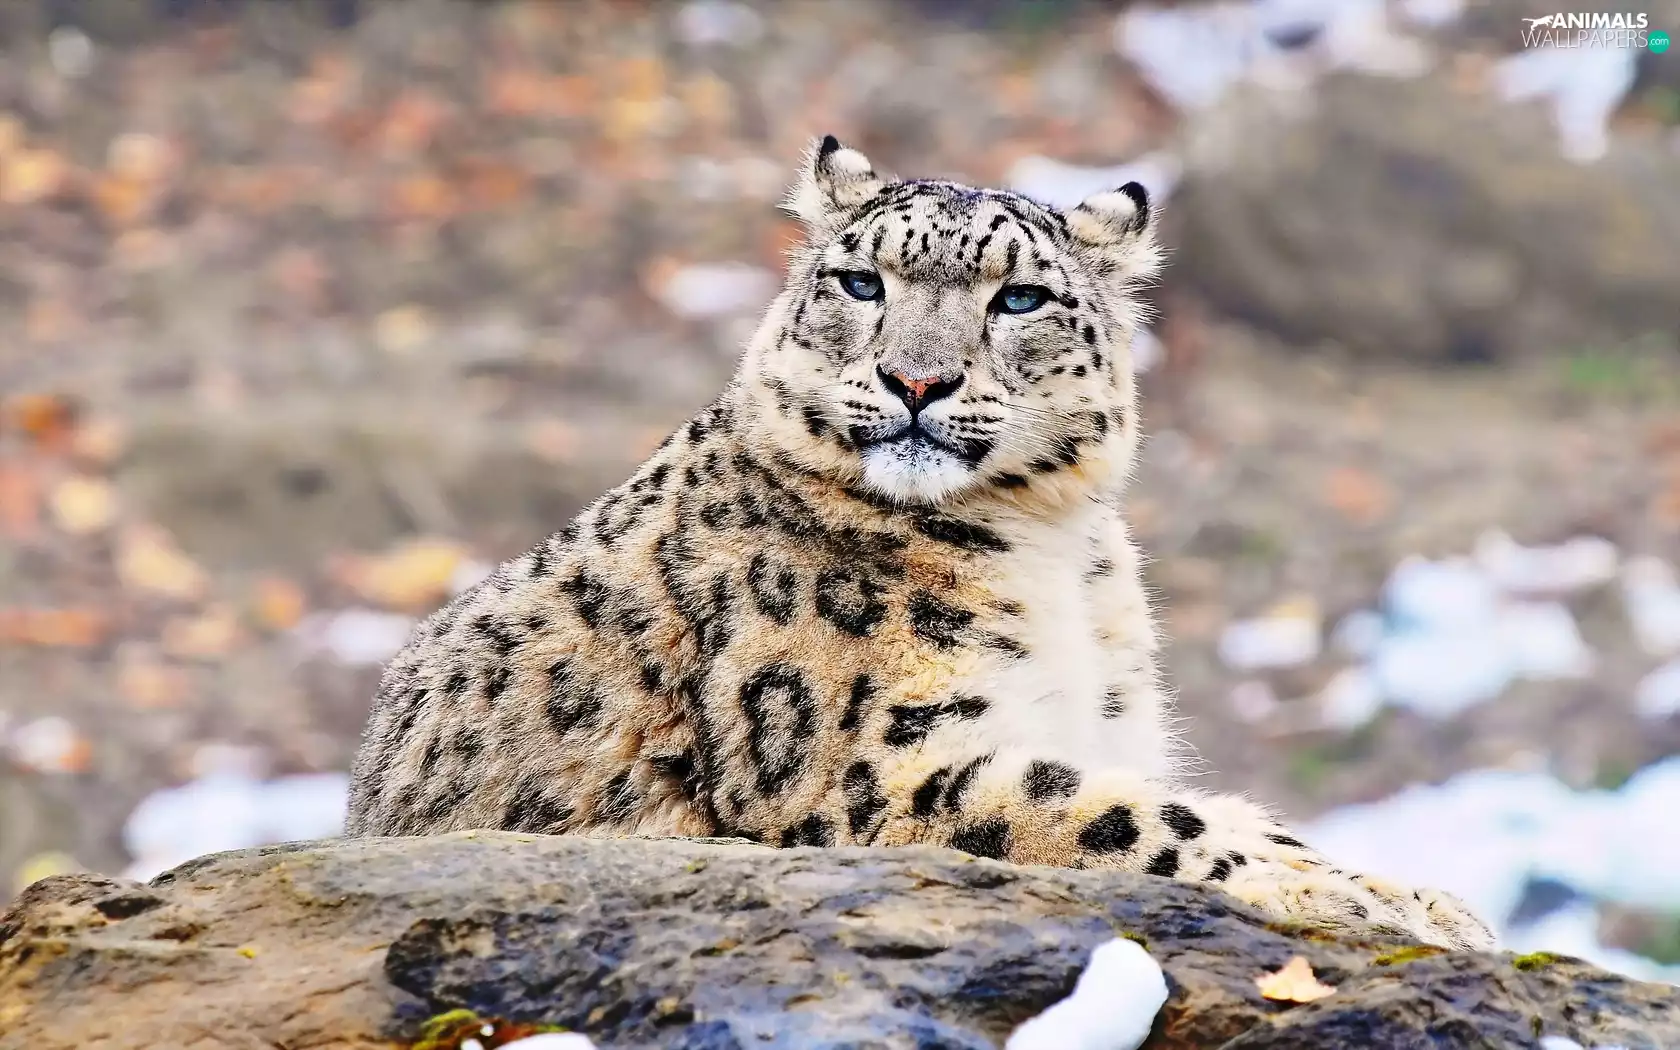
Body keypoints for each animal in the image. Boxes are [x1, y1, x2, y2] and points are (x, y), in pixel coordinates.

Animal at [344, 136, 1495, 951]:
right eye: (863, 283)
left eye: (1019, 297)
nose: (916, 380)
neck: (1052, 554)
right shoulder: (866, 774)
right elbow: (1137, 817)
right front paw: (1382, 900)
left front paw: (1418, 897)